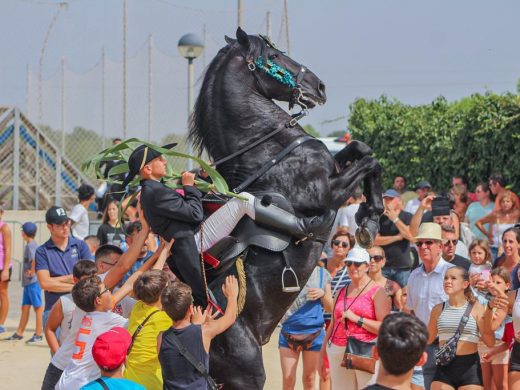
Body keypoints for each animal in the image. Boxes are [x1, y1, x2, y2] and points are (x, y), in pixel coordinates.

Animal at [189, 26, 384, 386]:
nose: (319, 87)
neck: (265, 148)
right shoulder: (326, 192)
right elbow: (371, 162)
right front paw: (371, 219)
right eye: (275, 56)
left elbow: (361, 148)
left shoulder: (334, 170)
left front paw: (370, 218)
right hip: (247, 372)